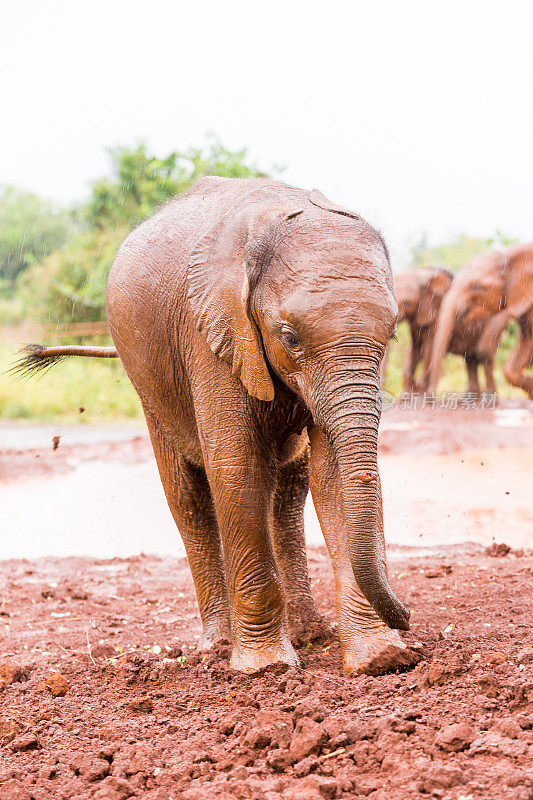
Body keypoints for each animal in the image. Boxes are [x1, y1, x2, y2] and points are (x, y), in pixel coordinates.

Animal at [19, 180, 416, 676]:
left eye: (393, 334)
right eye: (290, 339)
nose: (407, 616)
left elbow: (332, 473)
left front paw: (381, 660)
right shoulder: (210, 333)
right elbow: (236, 467)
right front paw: (266, 668)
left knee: (289, 488)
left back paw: (309, 635)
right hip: (147, 377)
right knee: (188, 498)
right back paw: (217, 647)